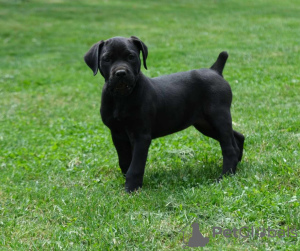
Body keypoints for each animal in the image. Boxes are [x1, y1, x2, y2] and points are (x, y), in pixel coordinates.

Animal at [84, 35, 244, 192]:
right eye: (107, 59)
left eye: (131, 57)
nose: (121, 73)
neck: (121, 97)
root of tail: (215, 71)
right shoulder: (117, 134)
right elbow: (124, 161)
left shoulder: (141, 136)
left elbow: (136, 166)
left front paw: (131, 189)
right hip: (205, 124)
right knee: (237, 137)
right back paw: (237, 164)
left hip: (218, 117)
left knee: (229, 148)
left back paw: (225, 176)